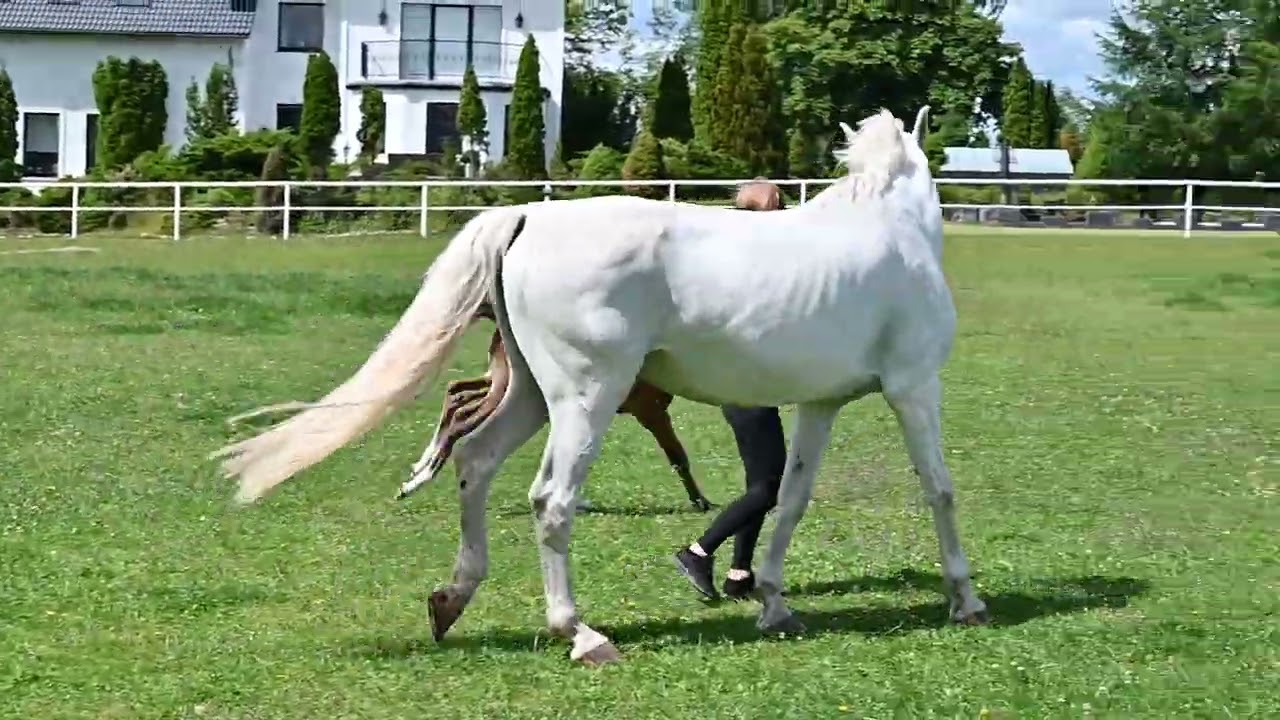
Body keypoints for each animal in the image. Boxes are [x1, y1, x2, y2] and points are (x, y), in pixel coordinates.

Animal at [412, 179, 793, 511]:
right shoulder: (649, 411)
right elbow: (678, 455)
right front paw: (700, 501)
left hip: (504, 382)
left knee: (458, 395)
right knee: (462, 415)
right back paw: (422, 474)